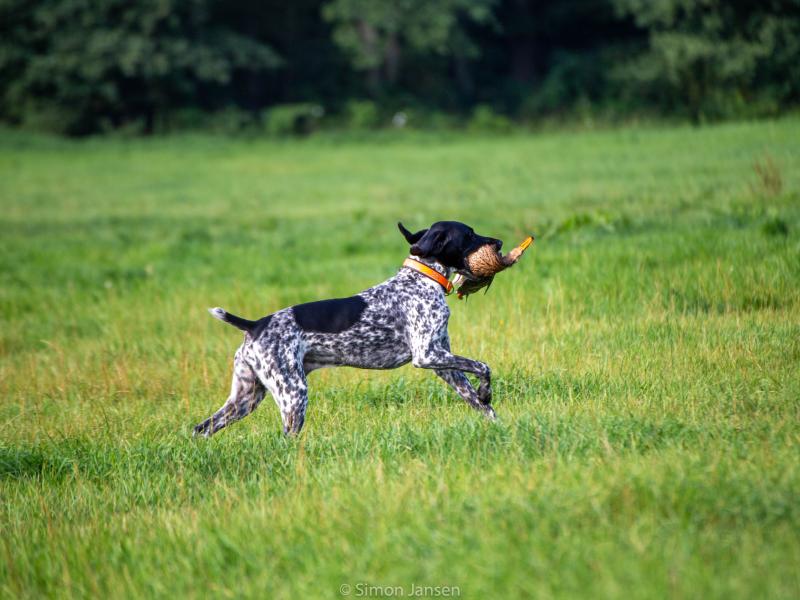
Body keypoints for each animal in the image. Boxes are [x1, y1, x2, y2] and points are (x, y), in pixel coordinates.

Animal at [195, 220, 504, 436]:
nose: (499, 242)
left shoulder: (443, 362)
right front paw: (486, 391)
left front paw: (496, 422)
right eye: (469, 234)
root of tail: (255, 324)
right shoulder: (427, 355)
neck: (421, 279)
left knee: (201, 428)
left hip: (246, 397)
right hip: (292, 393)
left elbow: (479, 402)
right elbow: (483, 366)